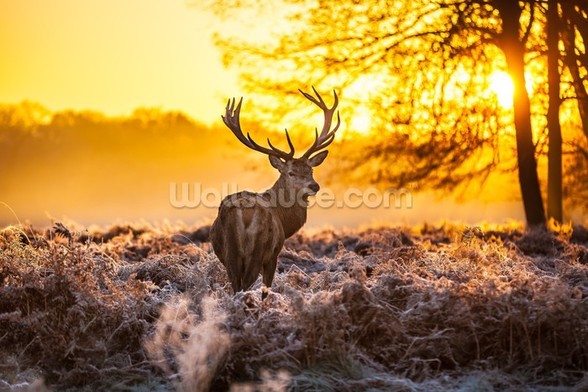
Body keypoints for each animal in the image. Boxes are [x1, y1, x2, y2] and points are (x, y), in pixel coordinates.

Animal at [210, 87, 340, 298]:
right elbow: (266, 289)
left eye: (311, 170)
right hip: (258, 249)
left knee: (236, 286)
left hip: (231, 254)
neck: (284, 221)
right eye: (291, 172)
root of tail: (243, 213)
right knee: (246, 285)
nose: (314, 186)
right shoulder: (274, 254)